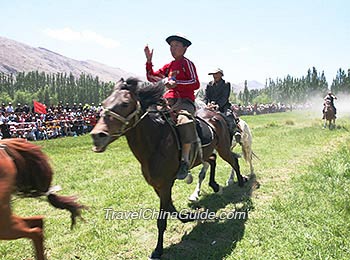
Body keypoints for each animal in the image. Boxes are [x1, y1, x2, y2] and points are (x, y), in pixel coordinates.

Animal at [90, 77, 246, 260]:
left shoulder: (165, 184)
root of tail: (217, 115)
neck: (155, 143)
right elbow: (170, 207)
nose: (97, 136)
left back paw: (241, 181)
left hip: (223, 148)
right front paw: (187, 217)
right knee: (213, 161)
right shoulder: (157, 185)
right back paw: (214, 185)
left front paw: (158, 249)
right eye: (104, 103)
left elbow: (162, 218)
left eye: (125, 103)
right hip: (207, 152)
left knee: (233, 161)